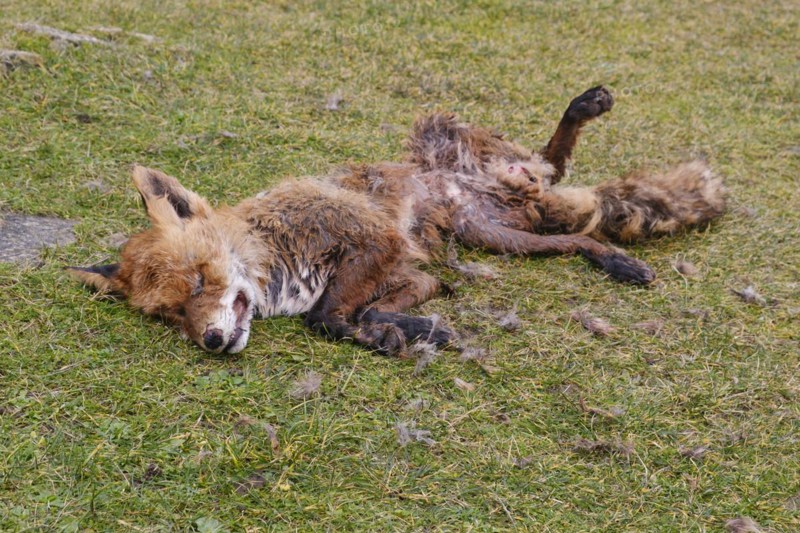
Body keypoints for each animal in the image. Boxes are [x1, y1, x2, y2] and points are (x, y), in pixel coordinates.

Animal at [69, 86, 726, 356]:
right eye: (171, 314)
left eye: (203, 281)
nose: (209, 341)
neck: (274, 252)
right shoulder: (413, 273)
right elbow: (357, 313)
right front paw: (409, 330)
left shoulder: (371, 239)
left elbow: (326, 316)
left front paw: (387, 333)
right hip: (499, 235)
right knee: (570, 236)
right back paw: (613, 259)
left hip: (468, 150)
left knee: (552, 160)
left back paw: (586, 106)